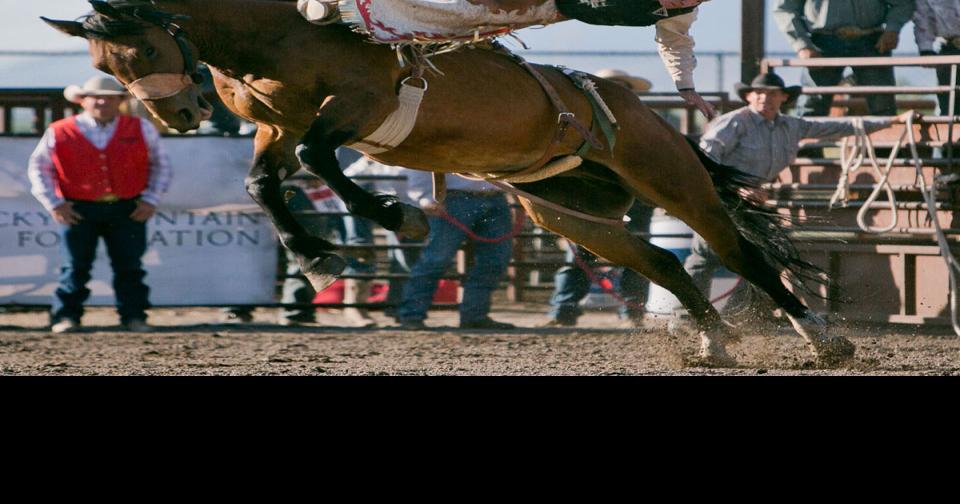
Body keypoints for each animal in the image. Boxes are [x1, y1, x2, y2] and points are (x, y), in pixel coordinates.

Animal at [43, 0, 856, 366]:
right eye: (107, 66)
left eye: (144, 47)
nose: (176, 115)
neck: (281, 32)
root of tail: (636, 106)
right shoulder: (273, 129)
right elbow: (263, 186)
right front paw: (317, 257)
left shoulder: (353, 107)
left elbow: (317, 157)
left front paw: (394, 216)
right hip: (565, 211)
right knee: (657, 259)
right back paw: (714, 340)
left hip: (671, 180)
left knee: (741, 253)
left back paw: (822, 338)